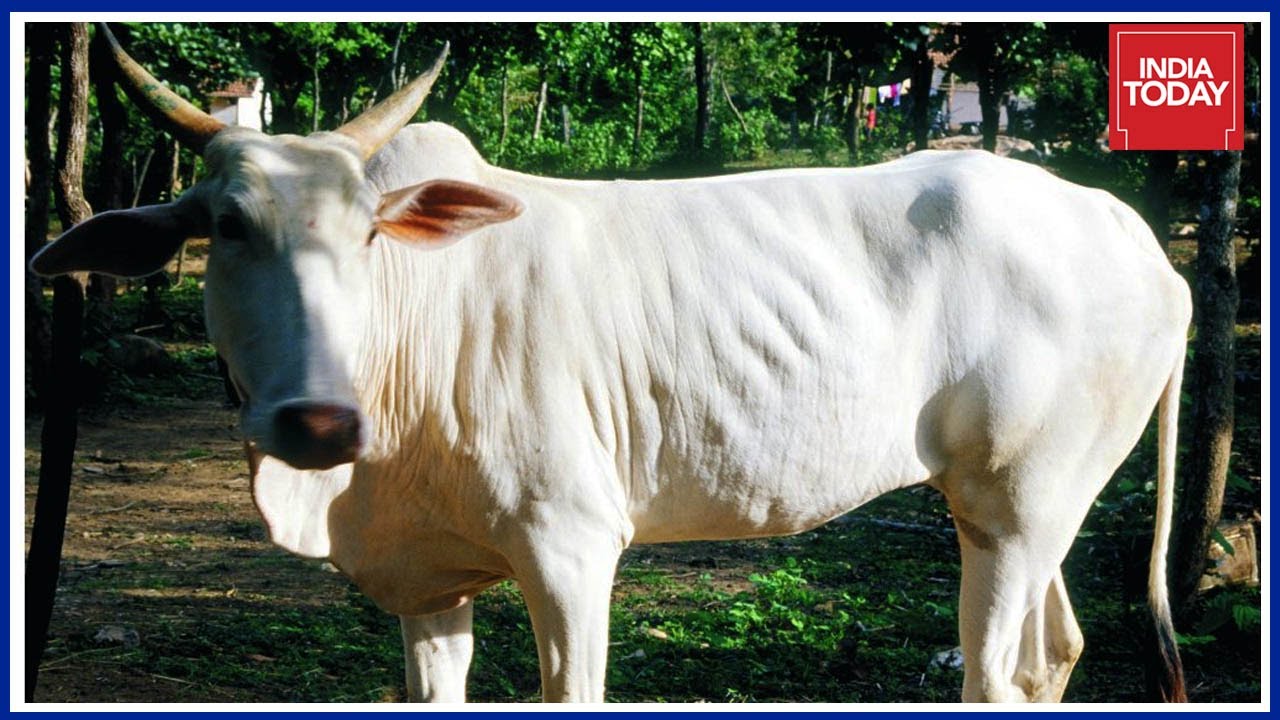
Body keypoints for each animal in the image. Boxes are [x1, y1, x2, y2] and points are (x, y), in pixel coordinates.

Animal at [31, 26, 1190, 703]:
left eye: (366, 232)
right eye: (225, 226)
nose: (319, 423)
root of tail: (1133, 239)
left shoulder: (570, 548)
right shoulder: (427, 582)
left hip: (1018, 506)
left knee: (999, 672)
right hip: (1015, 506)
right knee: (1054, 654)